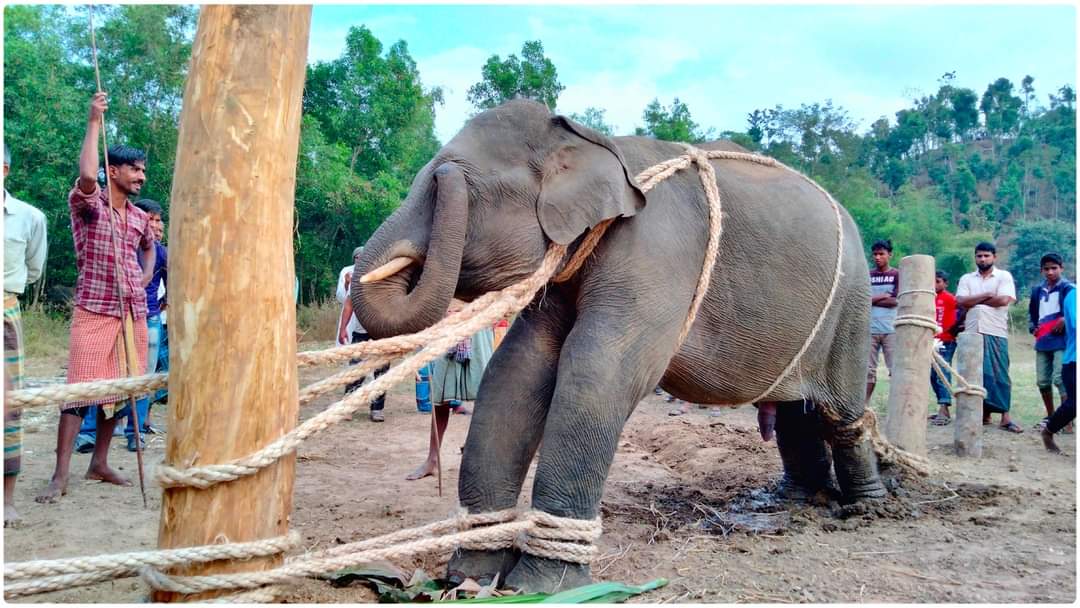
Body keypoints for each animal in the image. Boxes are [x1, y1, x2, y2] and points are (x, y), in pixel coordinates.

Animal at [352, 99, 886, 593]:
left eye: (452, 182)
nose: (444, 172)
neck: (592, 140)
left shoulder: (656, 249)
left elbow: (599, 370)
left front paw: (540, 589)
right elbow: (517, 369)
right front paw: (469, 579)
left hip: (852, 304)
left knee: (840, 412)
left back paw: (868, 508)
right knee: (796, 411)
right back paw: (798, 500)